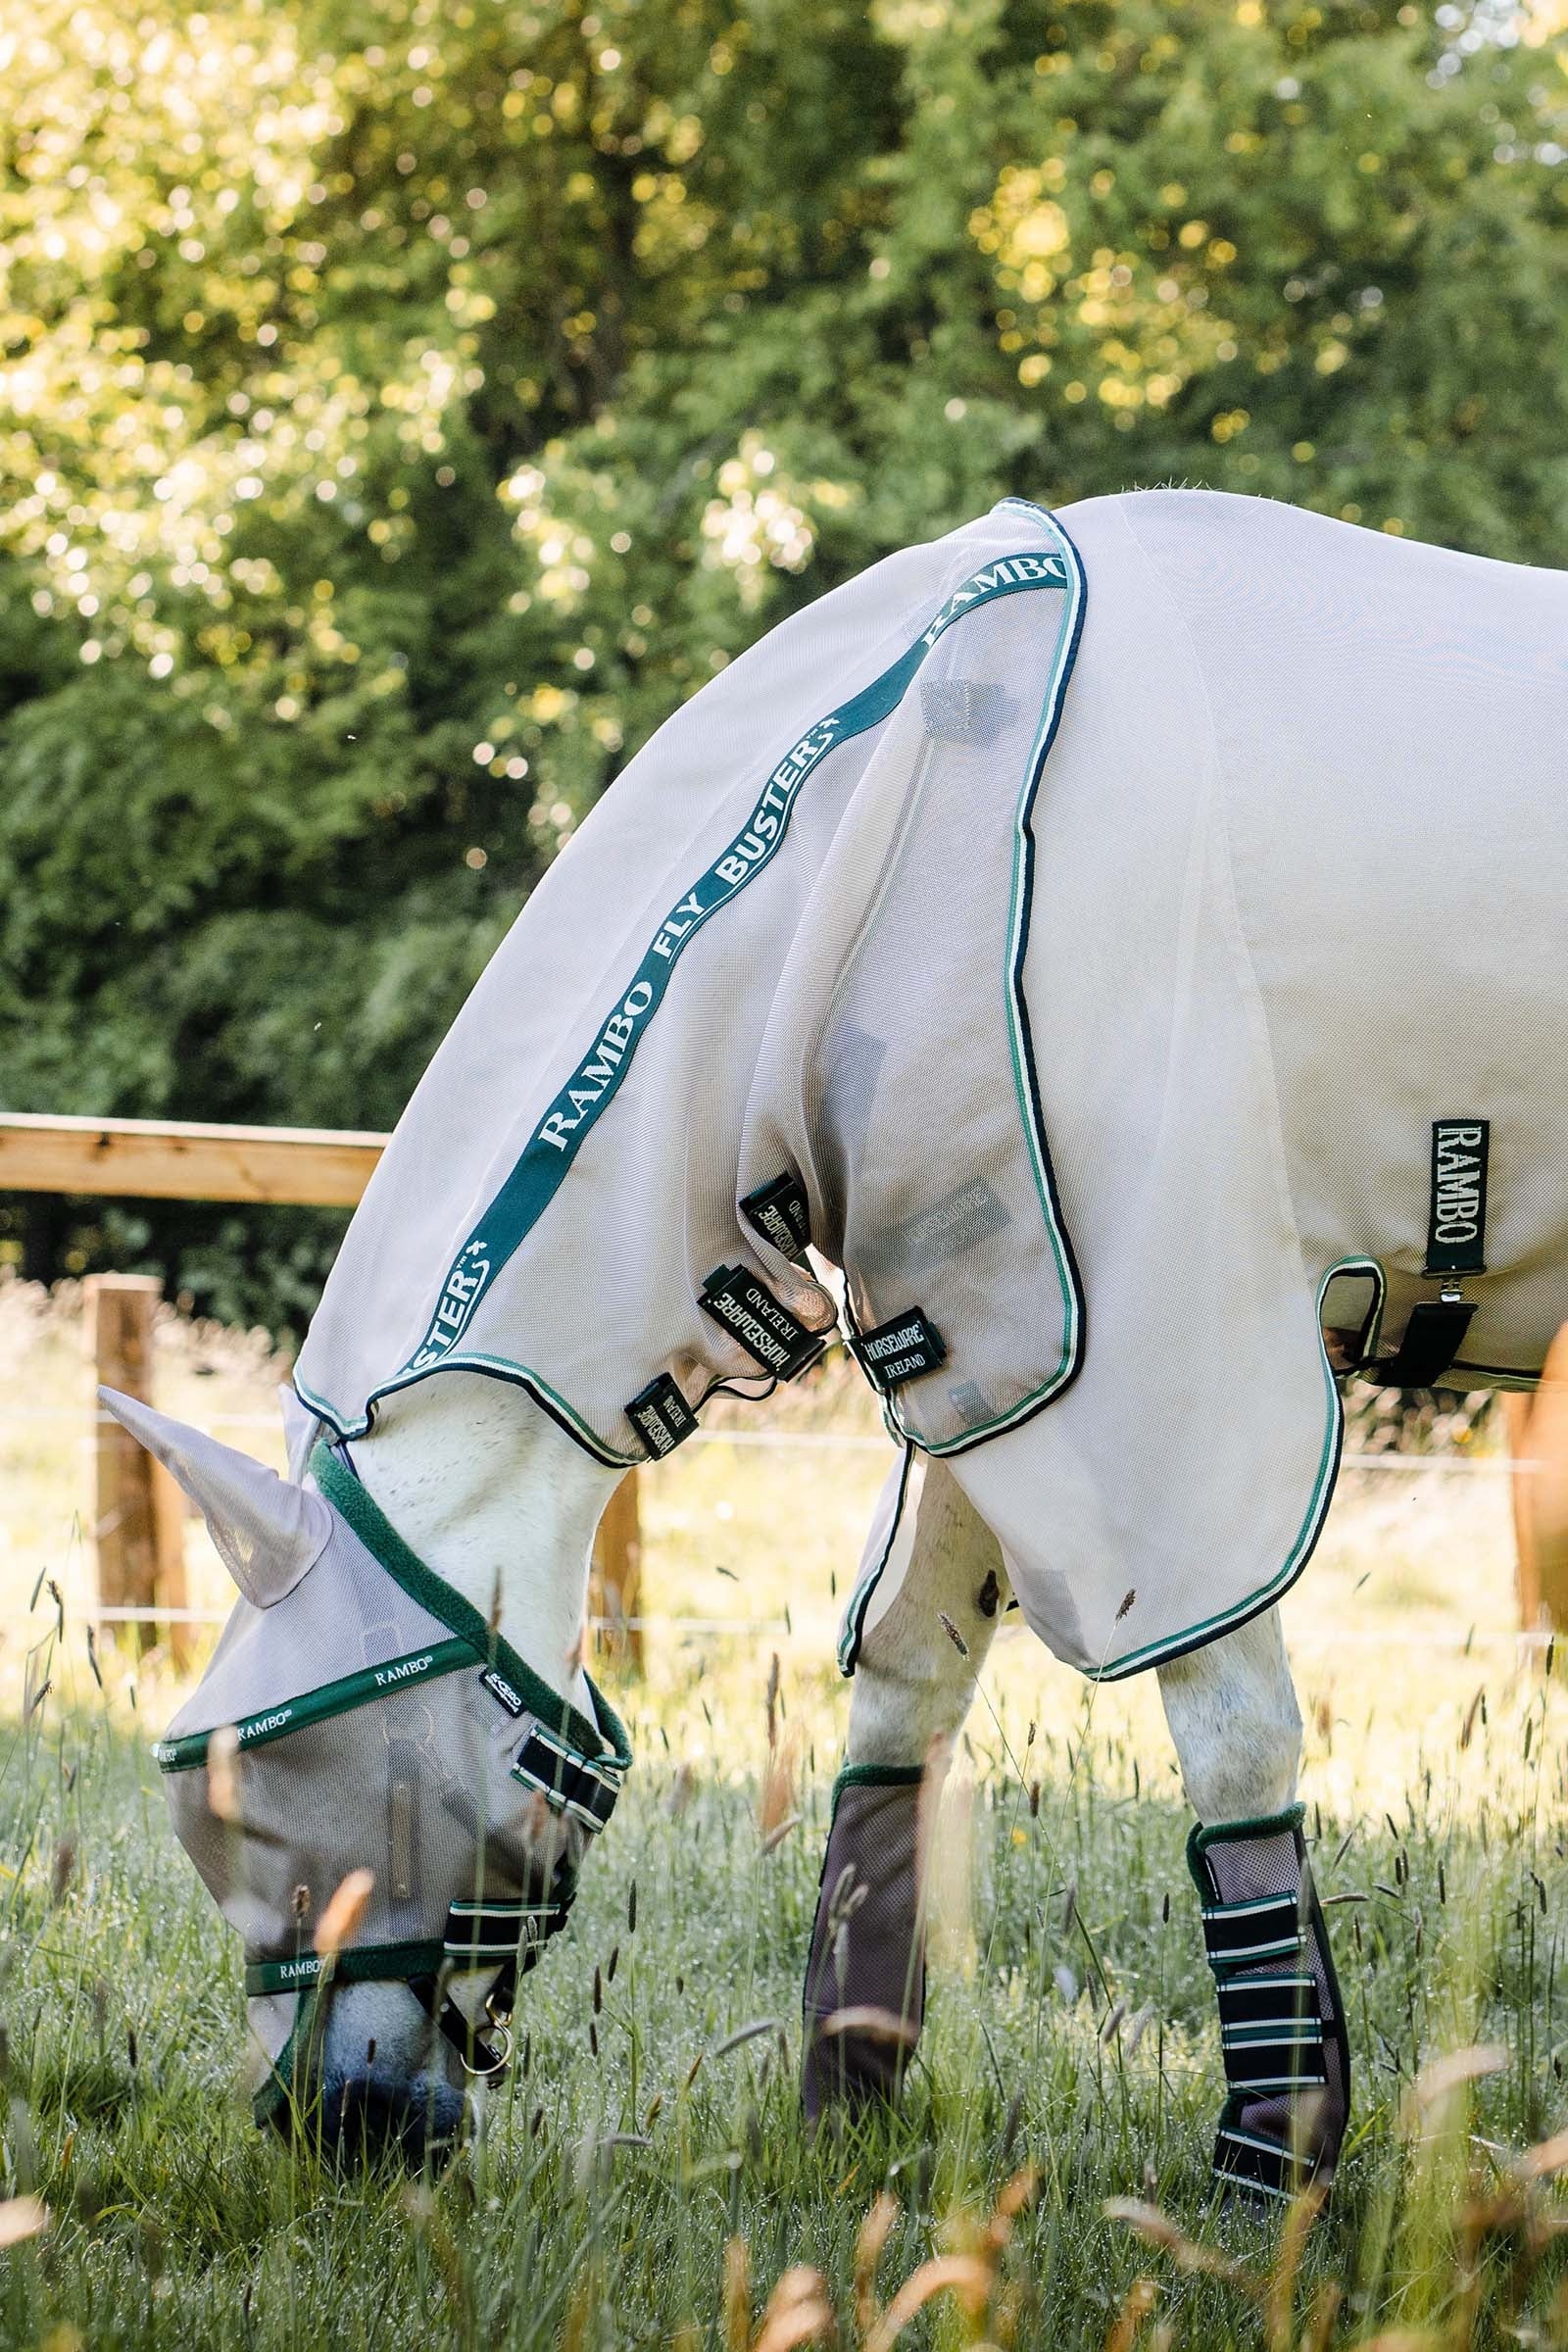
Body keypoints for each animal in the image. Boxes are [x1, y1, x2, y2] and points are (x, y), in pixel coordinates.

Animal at [104, 486, 1568, 2189]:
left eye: (262, 1783)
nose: (333, 2129)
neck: (921, 810)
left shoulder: (1161, 1385)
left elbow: (1236, 1750)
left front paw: (1273, 2171)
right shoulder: (994, 1364)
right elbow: (903, 1700)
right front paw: (842, 2109)